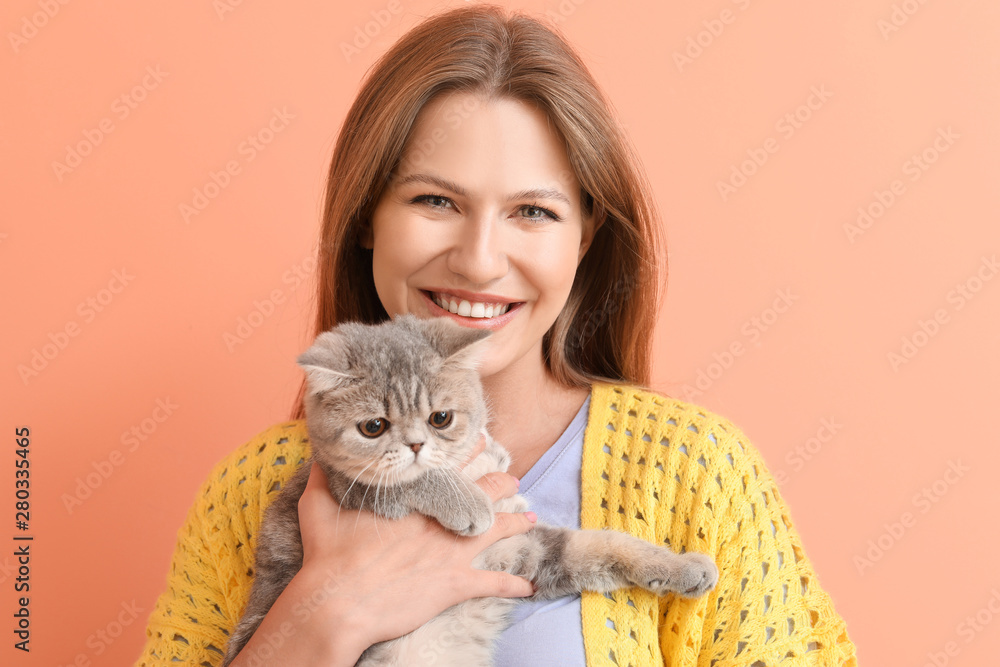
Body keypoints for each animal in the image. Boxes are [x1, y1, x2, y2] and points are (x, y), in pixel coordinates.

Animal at [222, 314, 716, 667]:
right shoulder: (347, 485)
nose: (416, 444)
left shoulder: (524, 553)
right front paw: (467, 501)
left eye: (441, 418)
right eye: (373, 426)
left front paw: (681, 567)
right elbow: (416, 478)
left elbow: (606, 545)